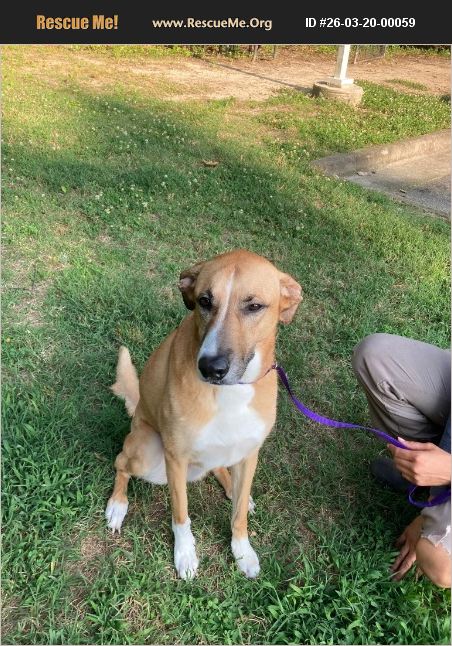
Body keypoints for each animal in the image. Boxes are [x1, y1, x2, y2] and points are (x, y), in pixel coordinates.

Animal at [105, 249, 302, 579]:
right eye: (204, 301)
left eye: (254, 306)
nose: (211, 367)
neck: (231, 393)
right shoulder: (175, 457)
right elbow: (181, 514)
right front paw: (185, 554)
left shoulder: (250, 453)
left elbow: (238, 516)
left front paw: (242, 551)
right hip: (146, 451)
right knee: (121, 464)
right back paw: (118, 505)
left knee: (220, 470)